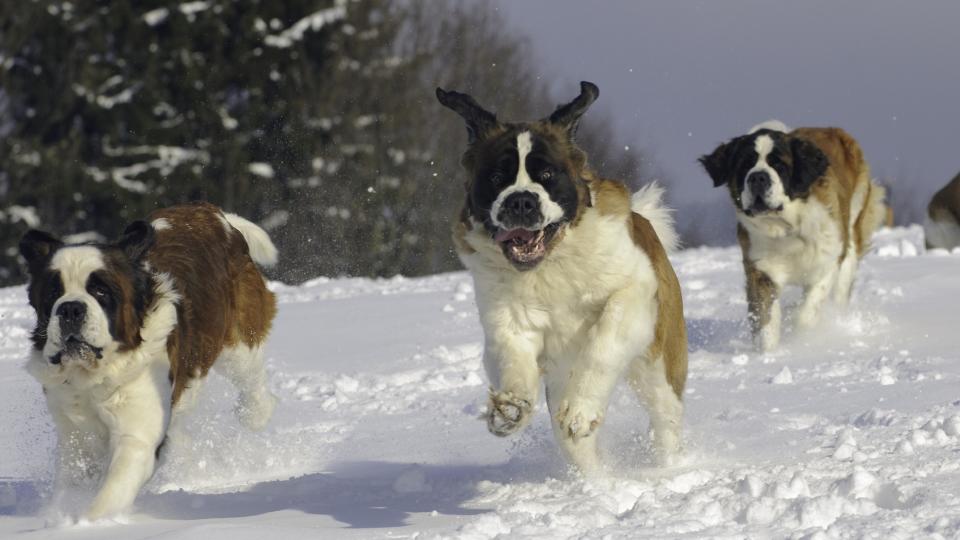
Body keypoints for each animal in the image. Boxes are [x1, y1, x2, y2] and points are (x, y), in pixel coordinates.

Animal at [20, 201, 280, 520]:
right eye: (53, 293)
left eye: (101, 291)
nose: (70, 309)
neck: (96, 376)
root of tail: (211, 211)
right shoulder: (77, 437)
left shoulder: (136, 437)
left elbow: (109, 493)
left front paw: (85, 522)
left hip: (238, 338)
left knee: (251, 378)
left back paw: (255, 413)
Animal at [436, 81, 688, 472]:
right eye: (497, 178)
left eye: (547, 176)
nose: (521, 201)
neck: (550, 260)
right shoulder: (505, 317)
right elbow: (511, 354)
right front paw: (510, 408)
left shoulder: (634, 291)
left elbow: (604, 341)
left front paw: (582, 409)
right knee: (575, 447)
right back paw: (599, 482)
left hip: (659, 364)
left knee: (664, 418)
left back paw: (667, 467)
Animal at [696, 120, 892, 352]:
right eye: (745, 165)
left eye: (779, 165)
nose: (758, 177)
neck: (785, 226)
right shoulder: (761, 269)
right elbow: (766, 319)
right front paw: (767, 352)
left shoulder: (828, 258)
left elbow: (806, 313)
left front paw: (799, 337)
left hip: (853, 228)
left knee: (842, 284)